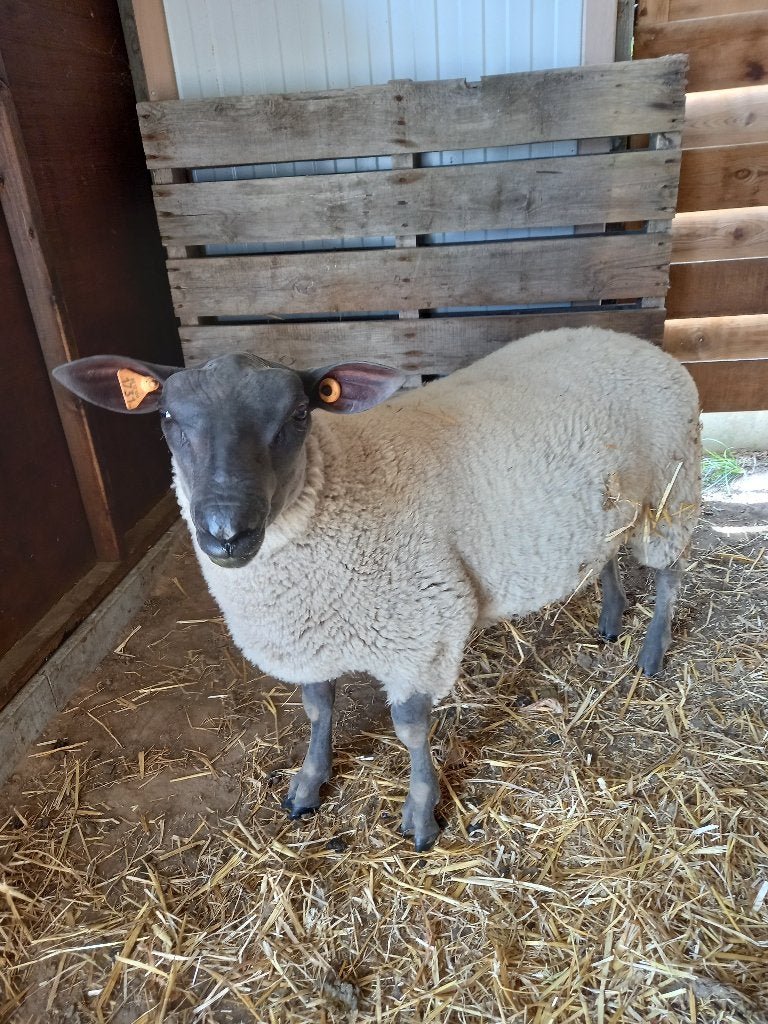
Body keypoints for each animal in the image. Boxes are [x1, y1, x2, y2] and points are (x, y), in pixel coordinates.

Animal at [53, 326, 701, 852]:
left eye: (299, 416)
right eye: (167, 418)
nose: (225, 531)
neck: (337, 483)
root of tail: (632, 341)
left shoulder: (423, 626)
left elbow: (411, 729)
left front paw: (420, 815)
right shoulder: (309, 635)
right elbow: (318, 709)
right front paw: (309, 784)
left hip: (672, 491)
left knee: (669, 571)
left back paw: (651, 652)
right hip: (610, 508)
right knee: (607, 555)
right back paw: (612, 619)